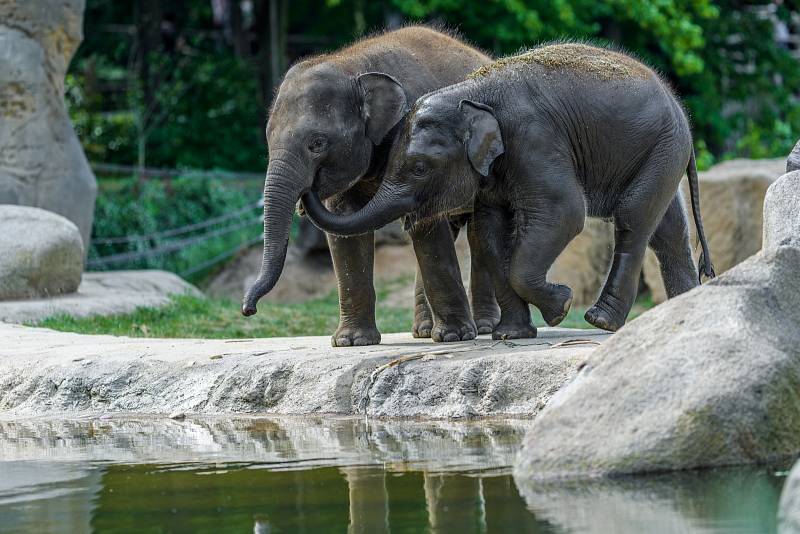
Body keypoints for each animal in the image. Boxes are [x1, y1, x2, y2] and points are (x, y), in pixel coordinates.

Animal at [241, 27, 500, 348]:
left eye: (317, 143)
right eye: (268, 137)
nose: (248, 310)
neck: (351, 64)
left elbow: (426, 229)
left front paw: (455, 337)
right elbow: (345, 225)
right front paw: (351, 342)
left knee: (477, 235)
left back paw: (484, 326)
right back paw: (424, 330)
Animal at [302, 45, 720, 340]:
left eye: (420, 168)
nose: (311, 181)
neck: (473, 92)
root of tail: (678, 106)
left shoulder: (534, 139)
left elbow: (565, 213)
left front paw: (561, 306)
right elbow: (489, 231)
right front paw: (513, 334)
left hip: (662, 146)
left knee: (633, 220)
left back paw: (601, 321)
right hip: (660, 152)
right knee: (668, 229)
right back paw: (683, 310)